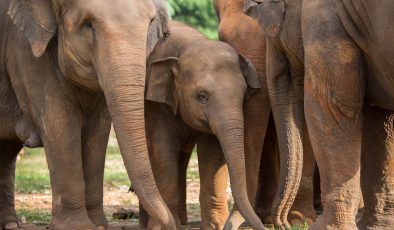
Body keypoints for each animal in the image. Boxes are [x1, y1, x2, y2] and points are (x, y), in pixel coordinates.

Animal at [0, 0, 176, 229]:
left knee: (7, 149)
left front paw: (98, 225)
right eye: (88, 25)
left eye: (150, 22)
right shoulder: (24, 51)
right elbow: (61, 124)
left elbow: (98, 132)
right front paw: (78, 226)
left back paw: (10, 224)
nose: (161, 224)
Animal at [139, 20, 264, 229]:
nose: (262, 225)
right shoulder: (156, 105)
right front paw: (164, 226)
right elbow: (163, 151)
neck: (189, 44)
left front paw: (215, 226)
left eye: (242, 96)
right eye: (202, 97)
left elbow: (212, 154)